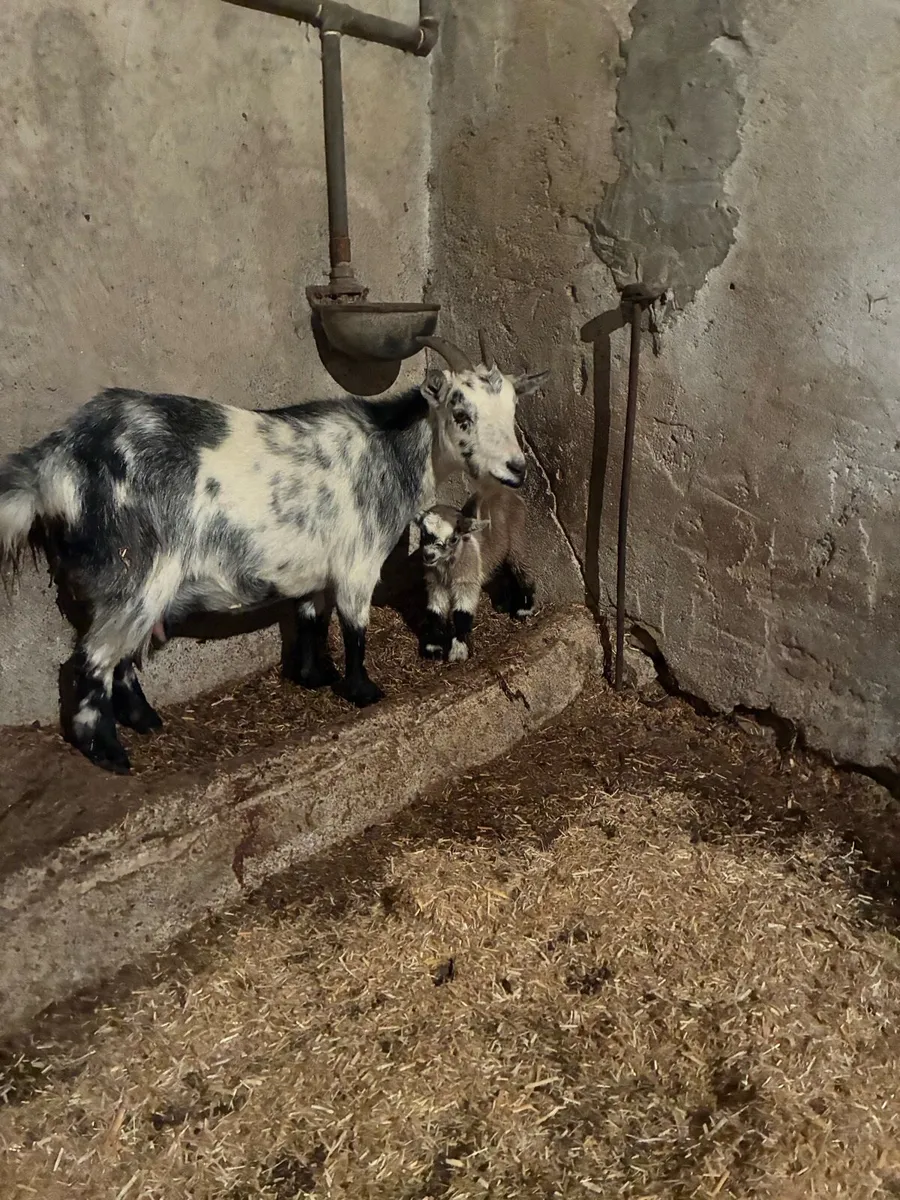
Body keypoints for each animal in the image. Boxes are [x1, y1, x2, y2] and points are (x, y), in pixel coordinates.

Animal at [418, 484, 536, 663]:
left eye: (454, 539)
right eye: (423, 534)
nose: (429, 555)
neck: (448, 568)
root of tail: (503, 490)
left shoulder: (467, 580)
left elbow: (462, 612)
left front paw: (459, 650)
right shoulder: (435, 583)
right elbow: (435, 611)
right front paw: (433, 647)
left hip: (517, 536)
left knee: (521, 567)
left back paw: (524, 608)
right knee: (501, 571)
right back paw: (503, 604)